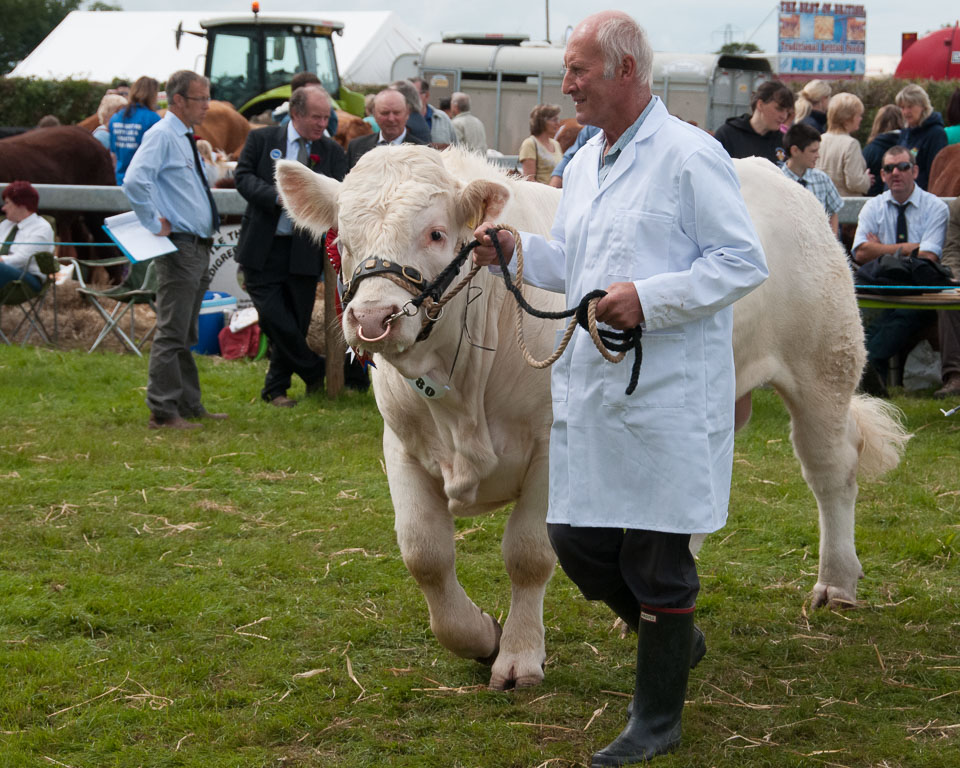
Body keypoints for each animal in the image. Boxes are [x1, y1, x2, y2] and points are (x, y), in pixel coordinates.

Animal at [278, 144, 908, 688]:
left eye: (435, 232)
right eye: (345, 240)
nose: (372, 318)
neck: (463, 399)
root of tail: (775, 173)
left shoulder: (549, 449)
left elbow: (528, 555)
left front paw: (518, 657)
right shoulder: (404, 445)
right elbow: (424, 555)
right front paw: (480, 636)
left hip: (824, 370)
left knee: (831, 472)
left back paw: (837, 582)